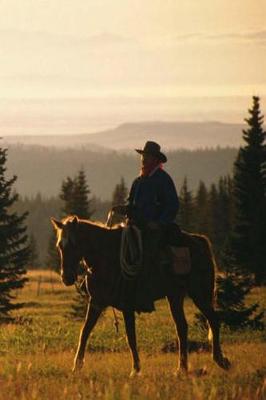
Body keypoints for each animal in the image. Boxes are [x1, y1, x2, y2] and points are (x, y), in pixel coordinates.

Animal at [51, 216, 230, 376]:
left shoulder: (127, 305)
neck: (106, 257)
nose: (66, 277)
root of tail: (200, 242)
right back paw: (182, 368)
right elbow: (85, 331)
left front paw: (135, 369)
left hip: (199, 293)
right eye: (60, 245)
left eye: (74, 244)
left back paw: (220, 360)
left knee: (213, 320)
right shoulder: (96, 302)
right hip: (175, 296)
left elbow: (131, 337)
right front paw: (76, 366)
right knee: (182, 327)